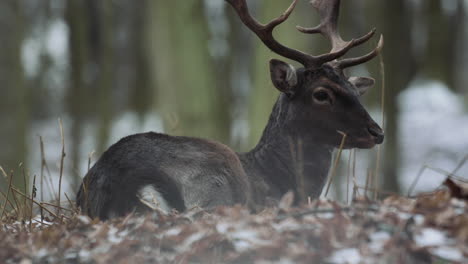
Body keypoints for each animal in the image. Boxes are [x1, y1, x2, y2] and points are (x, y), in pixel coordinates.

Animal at [77, 0, 384, 220]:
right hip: (213, 183)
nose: (377, 132)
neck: (279, 177)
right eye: (321, 93)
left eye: (353, 88)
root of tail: (115, 180)